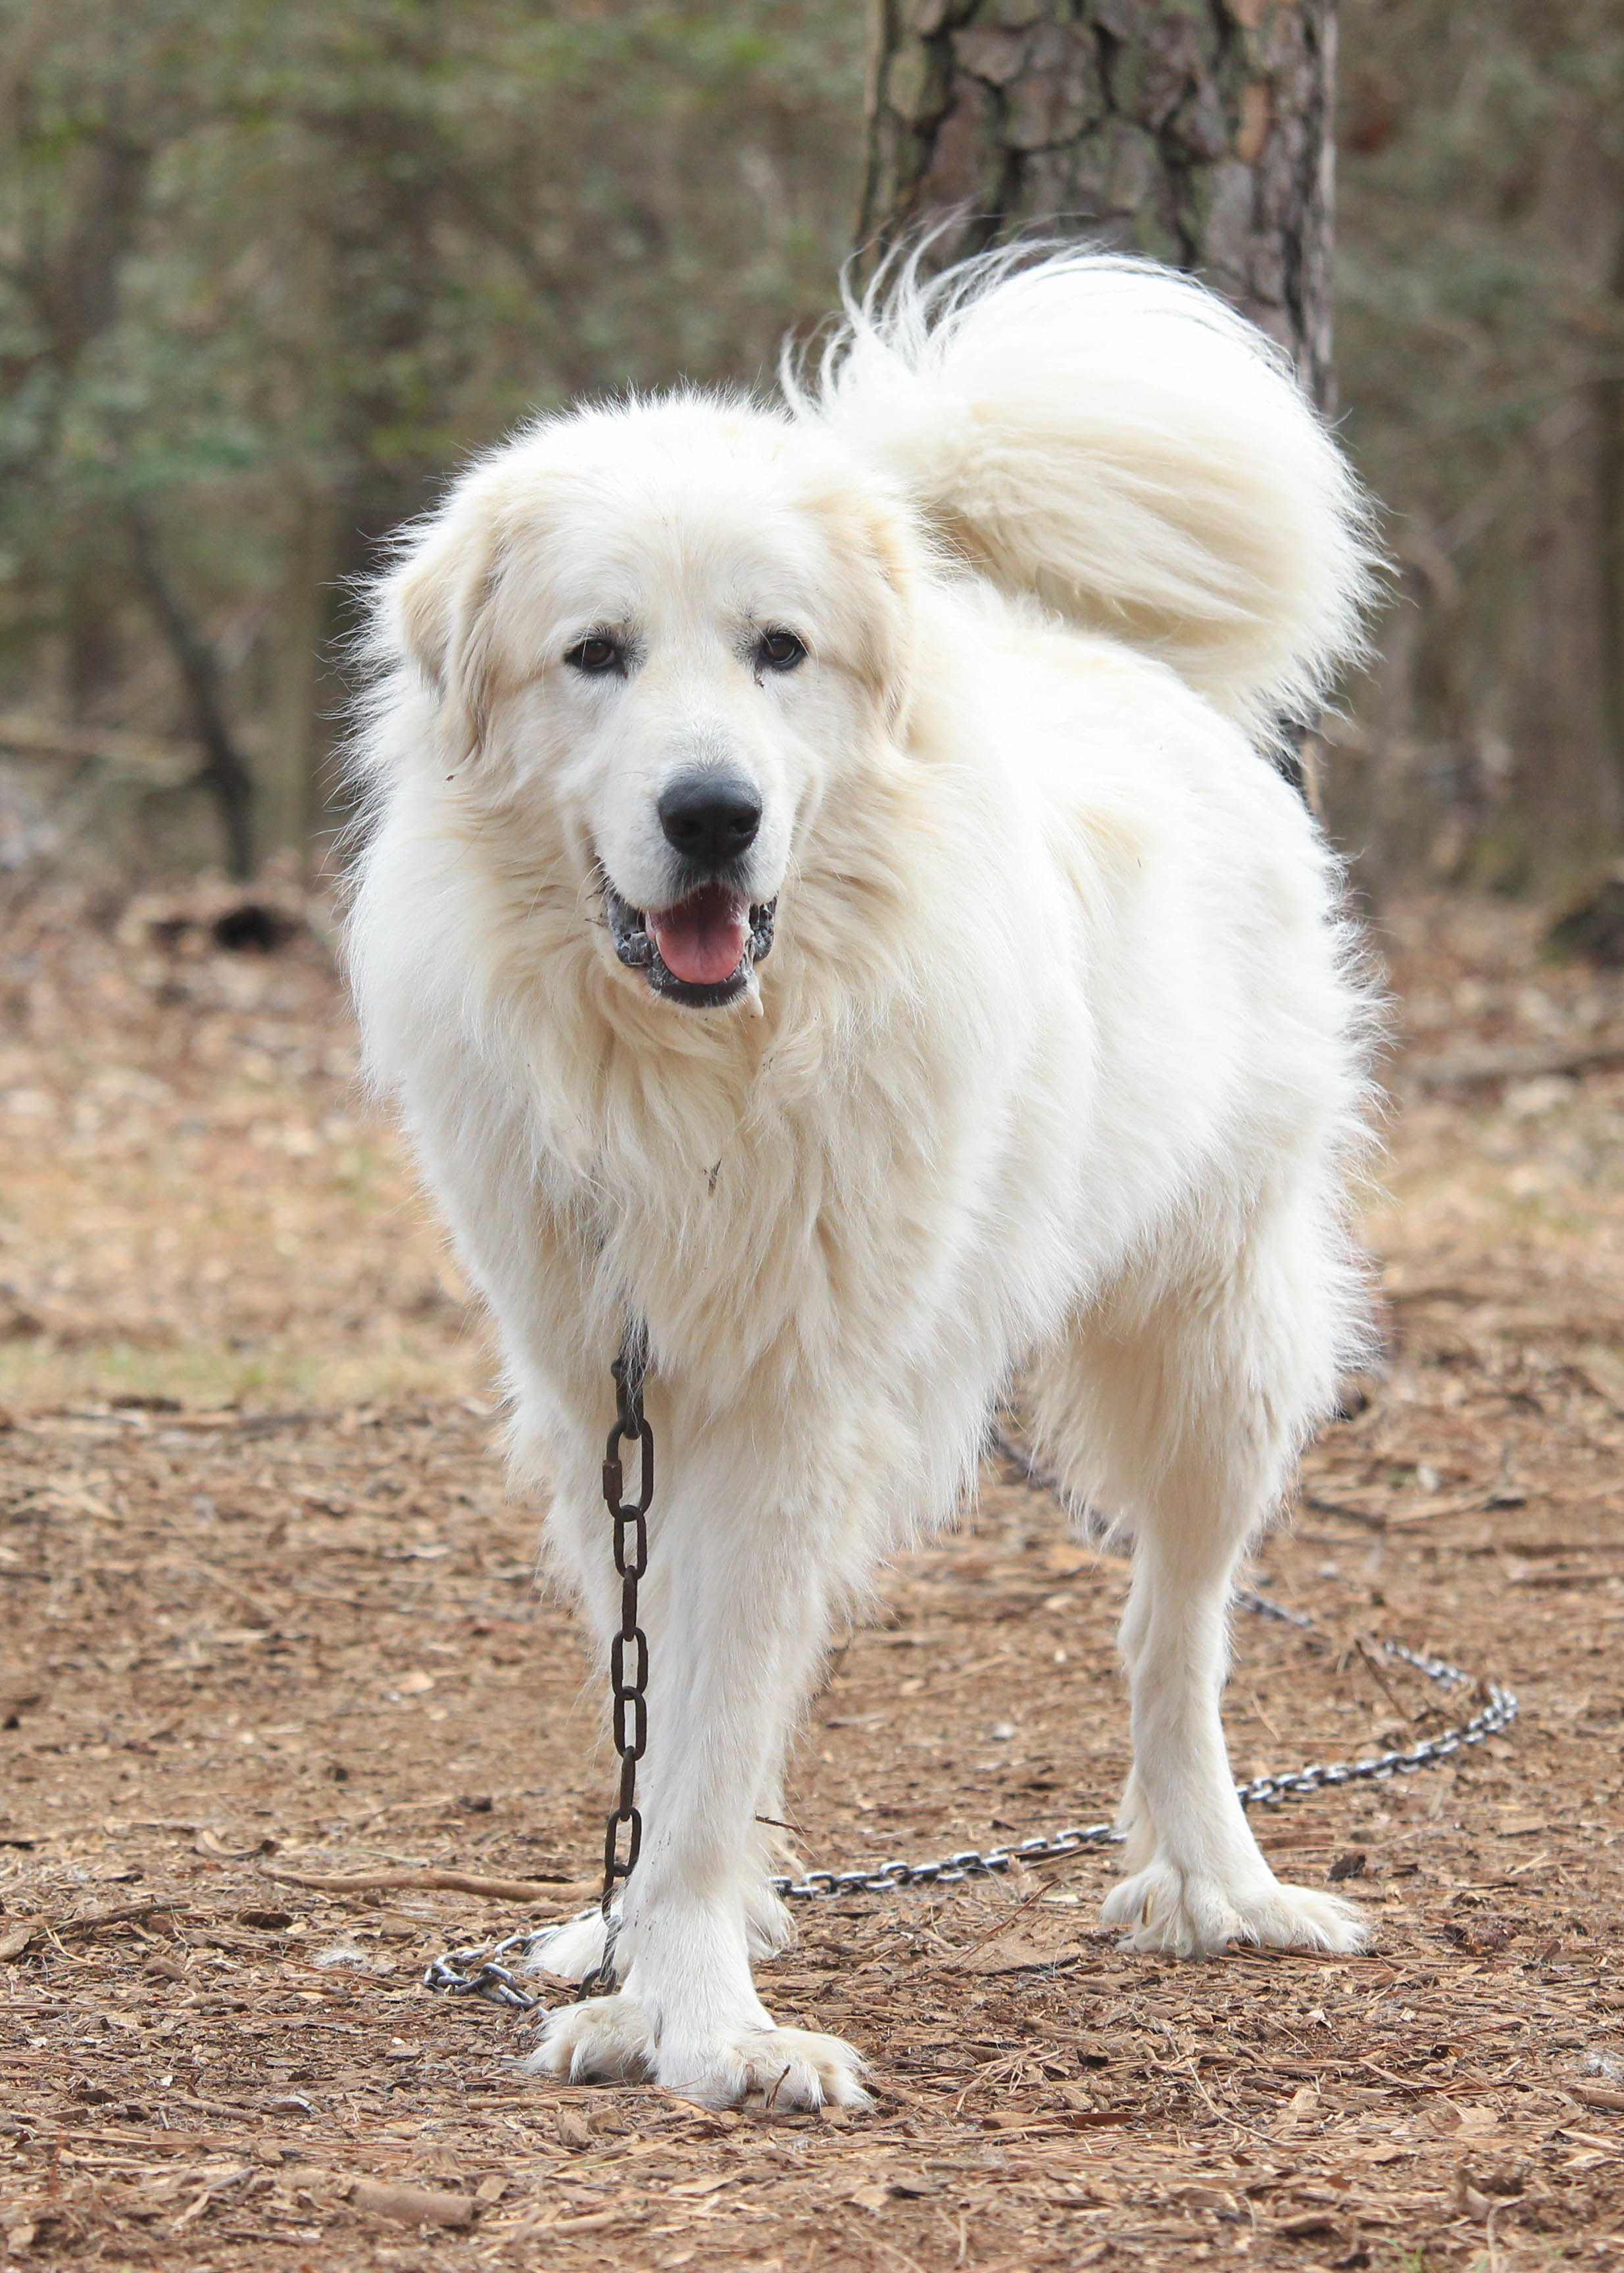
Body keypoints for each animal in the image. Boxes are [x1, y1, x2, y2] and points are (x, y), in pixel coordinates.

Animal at [348, 249, 1373, 2109]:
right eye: (596, 655)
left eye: (778, 652)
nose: (711, 813)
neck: (692, 1073)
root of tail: (1085, 643)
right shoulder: (606, 1388)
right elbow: (665, 1708)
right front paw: (641, 1966)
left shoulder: (789, 1400)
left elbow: (701, 1738)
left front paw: (703, 2019)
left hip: (1217, 1334)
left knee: (1173, 1633)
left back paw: (1218, 1883)